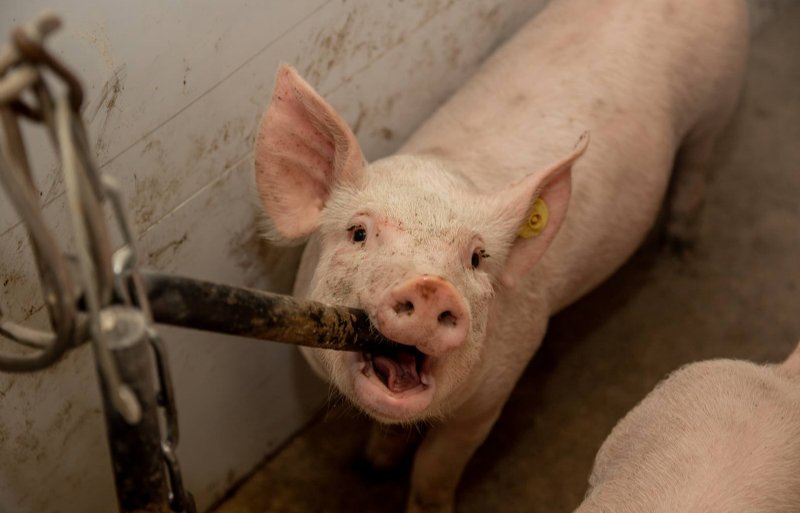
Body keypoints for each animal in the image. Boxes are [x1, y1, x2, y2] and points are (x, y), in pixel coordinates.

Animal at [253, 0, 748, 508]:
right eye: (358, 233)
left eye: (475, 259)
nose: (431, 287)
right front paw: (375, 464)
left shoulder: (496, 390)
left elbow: (435, 468)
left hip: (719, 99)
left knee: (697, 165)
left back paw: (680, 249)